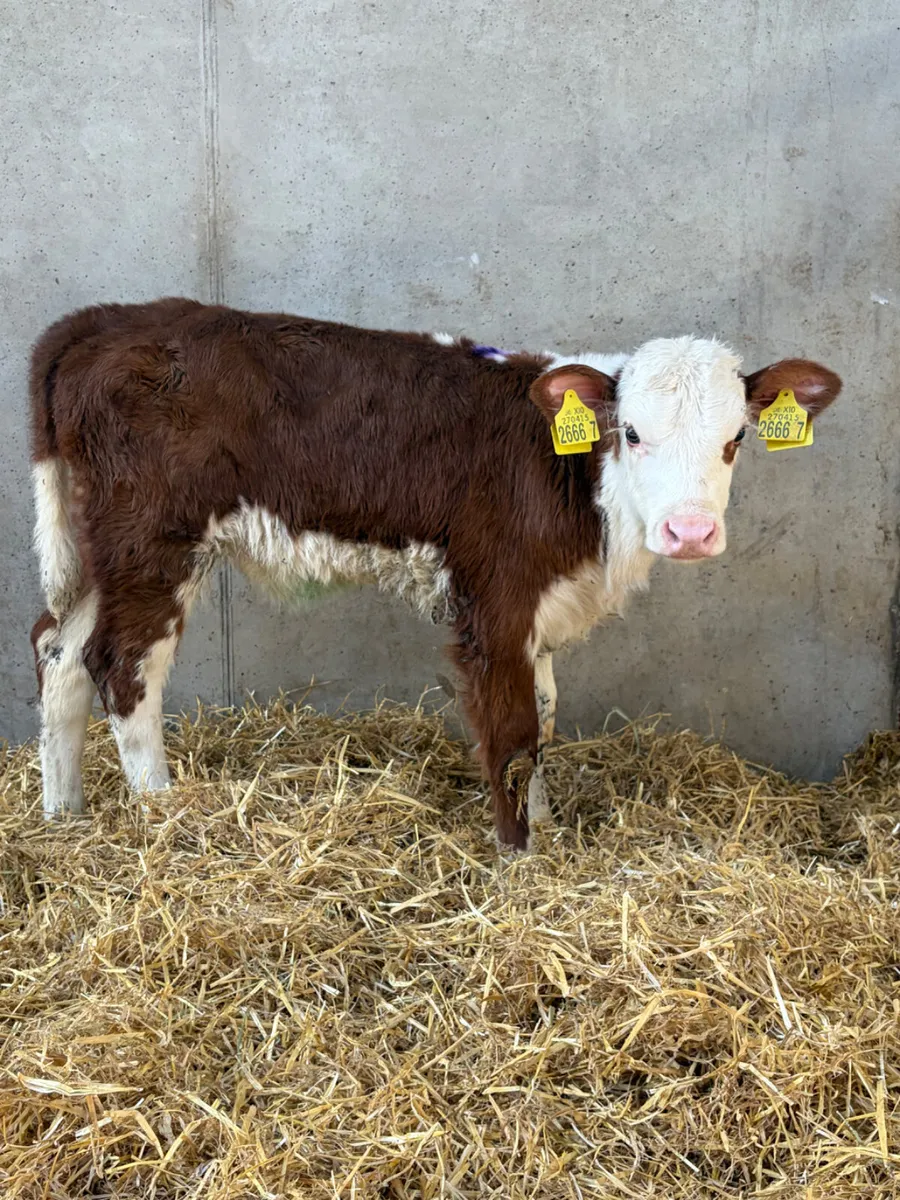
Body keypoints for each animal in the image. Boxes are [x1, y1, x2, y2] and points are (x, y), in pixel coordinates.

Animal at [28, 299, 842, 848]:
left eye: (737, 438)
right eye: (632, 433)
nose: (691, 532)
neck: (571, 476)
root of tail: (103, 321)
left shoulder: (539, 613)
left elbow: (544, 713)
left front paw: (546, 827)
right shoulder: (494, 599)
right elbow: (511, 733)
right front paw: (520, 856)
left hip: (100, 548)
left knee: (59, 654)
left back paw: (62, 815)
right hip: (153, 540)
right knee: (123, 666)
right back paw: (161, 815)